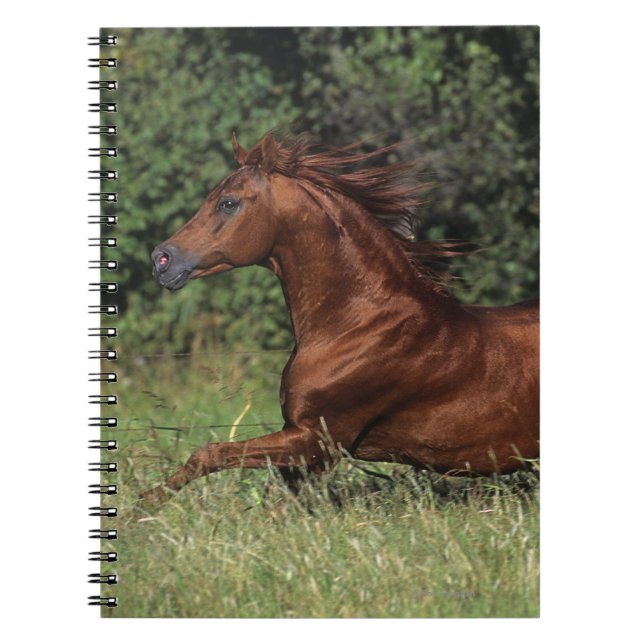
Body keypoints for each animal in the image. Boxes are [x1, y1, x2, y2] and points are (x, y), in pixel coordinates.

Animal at [144, 131, 539, 505]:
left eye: (228, 202)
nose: (161, 259)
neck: (359, 324)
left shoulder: (318, 439)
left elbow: (209, 454)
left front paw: (144, 508)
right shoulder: (305, 447)